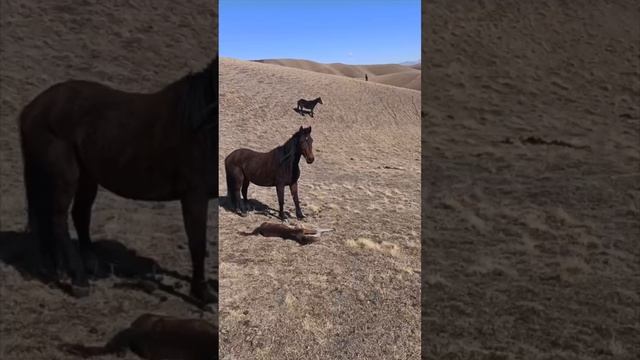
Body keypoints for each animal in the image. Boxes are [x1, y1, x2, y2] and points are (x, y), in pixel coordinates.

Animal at [18, 57, 219, 302]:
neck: (202, 126)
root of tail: (34, 107)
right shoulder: (194, 196)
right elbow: (198, 244)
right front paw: (202, 294)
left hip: (86, 176)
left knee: (78, 215)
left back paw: (80, 266)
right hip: (65, 175)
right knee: (58, 219)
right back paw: (79, 281)